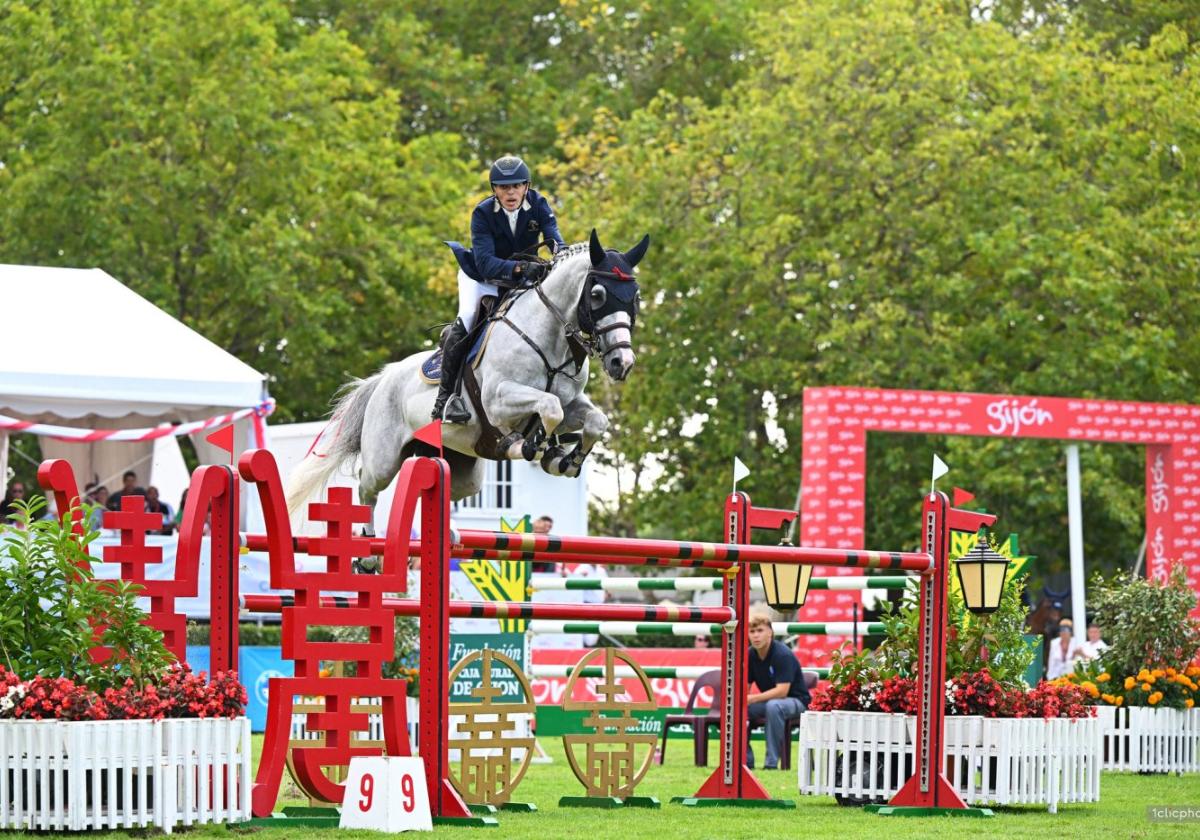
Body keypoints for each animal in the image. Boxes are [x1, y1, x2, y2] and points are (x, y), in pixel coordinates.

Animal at [286, 226, 652, 520]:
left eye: (635, 297)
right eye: (598, 294)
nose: (622, 363)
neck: (551, 340)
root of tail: (383, 379)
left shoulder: (572, 402)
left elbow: (593, 419)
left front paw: (564, 459)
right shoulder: (499, 400)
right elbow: (548, 408)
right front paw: (530, 446)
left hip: (462, 468)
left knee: (446, 492)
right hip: (384, 458)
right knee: (368, 487)